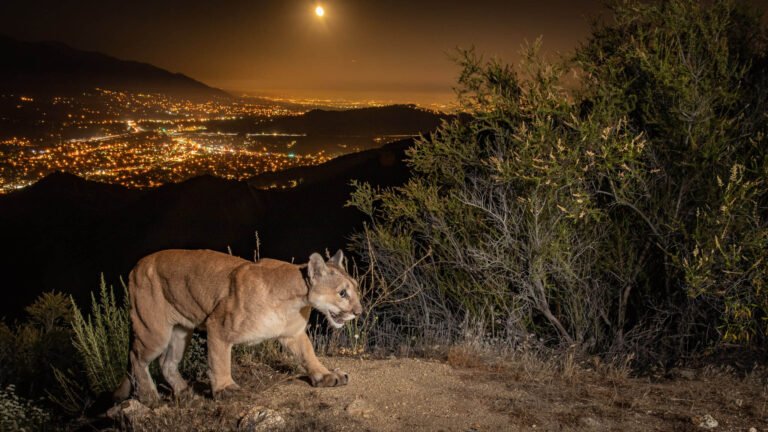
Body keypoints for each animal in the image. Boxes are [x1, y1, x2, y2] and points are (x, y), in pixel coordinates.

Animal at [113, 249, 362, 404]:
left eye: (356, 288)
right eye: (342, 293)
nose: (359, 312)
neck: (294, 299)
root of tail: (138, 265)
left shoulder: (292, 334)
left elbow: (308, 354)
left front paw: (325, 375)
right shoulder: (218, 325)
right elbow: (219, 360)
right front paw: (225, 389)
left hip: (181, 331)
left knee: (167, 363)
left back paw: (185, 392)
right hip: (153, 330)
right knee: (136, 357)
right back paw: (150, 397)